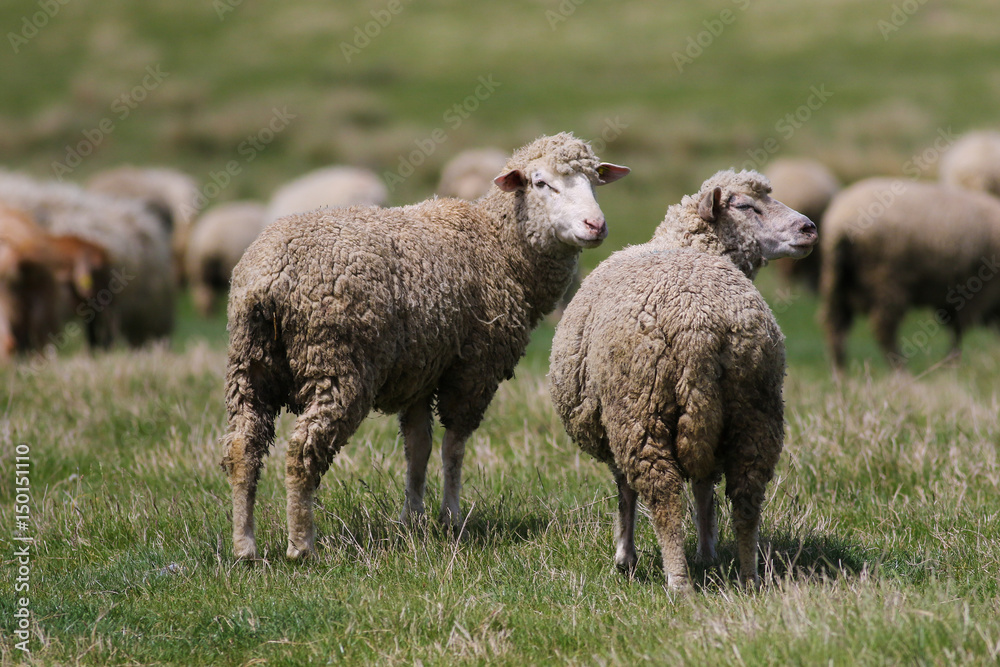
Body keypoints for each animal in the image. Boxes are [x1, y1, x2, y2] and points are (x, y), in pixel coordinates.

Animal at [223, 133, 628, 560]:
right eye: (540, 183)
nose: (596, 225)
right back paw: (302, 545)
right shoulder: (474, 370)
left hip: (250, 363)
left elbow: (418, 449)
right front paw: (451, 518)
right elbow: (453, 448)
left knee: (242, 447)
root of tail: (271, 279)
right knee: (301, 453)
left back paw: (245, 546)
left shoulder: (419, 371)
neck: (501, 249)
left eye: (595, 181)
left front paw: (412, 519)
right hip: (337, 363)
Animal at [548, 171, 820, 588]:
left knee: (663, 497)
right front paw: (707, 551)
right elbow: (705, 485)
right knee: (746, 499)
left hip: (639, 410)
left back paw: (677, 581)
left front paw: (625, 557)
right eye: (745, 206)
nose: (809, 228)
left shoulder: (614, 418)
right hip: (754, 407)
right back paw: (748, 576)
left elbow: (625, 490)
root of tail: (699, 324)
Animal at [816, 177, 1000, 370]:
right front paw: (952, 364)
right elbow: (959, 331)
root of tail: (841, 224)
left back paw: (840, 372)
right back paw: (901, 369)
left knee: (834, 326)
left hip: (835, 281)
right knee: (883, 328)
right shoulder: (979, 293)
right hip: (887, 278)